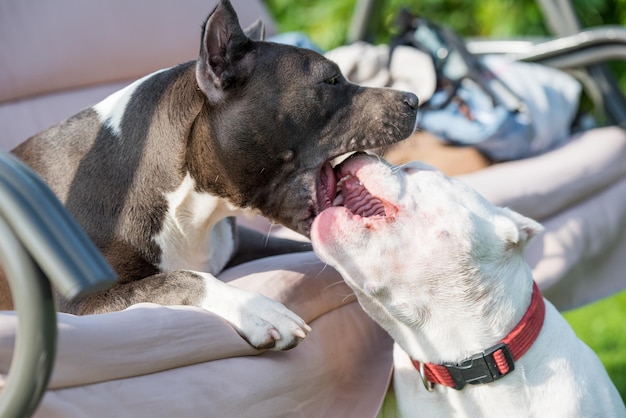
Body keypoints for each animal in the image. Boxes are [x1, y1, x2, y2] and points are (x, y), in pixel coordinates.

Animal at [3, 0, 420, 352]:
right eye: (331, 81)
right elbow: (184, 278)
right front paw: (255, 308)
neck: (192, 208)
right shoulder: (81, 303)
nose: (414, 99)